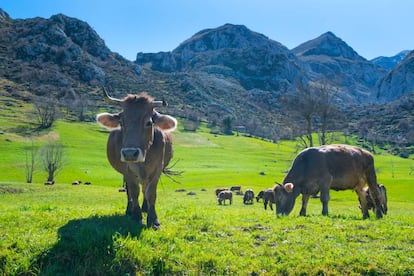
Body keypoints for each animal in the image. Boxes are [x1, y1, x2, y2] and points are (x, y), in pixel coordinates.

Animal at [96, 88, 176, 229]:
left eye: (149, 123)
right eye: (121, 122)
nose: (129, 153)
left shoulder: (157, 169)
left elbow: (150, 193)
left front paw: (153, 219)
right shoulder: (127, 170)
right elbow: (134, 192)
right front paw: (136, 216)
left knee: (144, 188)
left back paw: (145, 208)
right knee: (130, 192)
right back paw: (130, 210)